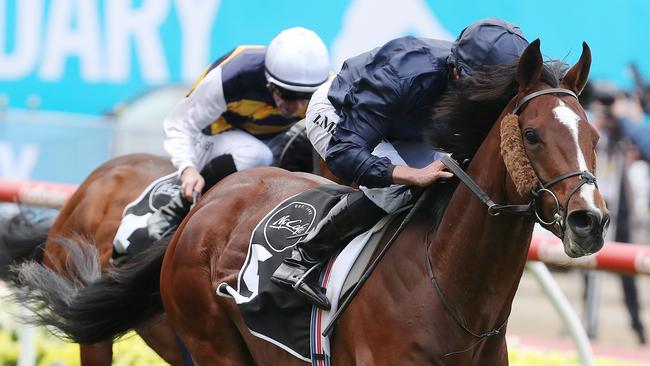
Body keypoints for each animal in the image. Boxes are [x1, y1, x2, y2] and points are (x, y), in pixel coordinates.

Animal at [8, 38, 608, 364]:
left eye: (596, 136)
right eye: (531, 134)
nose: (590, 221)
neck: (453, 294)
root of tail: (203, 208)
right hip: (207, 344)